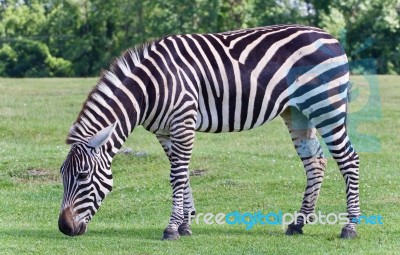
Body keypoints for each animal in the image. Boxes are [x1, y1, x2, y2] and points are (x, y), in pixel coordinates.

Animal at [57, 23, 360, 239]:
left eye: (82, 176)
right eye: (62, 176)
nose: (64, 228)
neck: (149, 89)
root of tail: (331, 37)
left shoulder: (183, 121)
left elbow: (177, 176)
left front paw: (172, 229)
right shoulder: (165, 132)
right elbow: (181, 173)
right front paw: (186, 223)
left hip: (326, 106)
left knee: (349, 159)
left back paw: (350, 227)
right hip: (297, 112)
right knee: (315, 162)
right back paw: (298, 223)